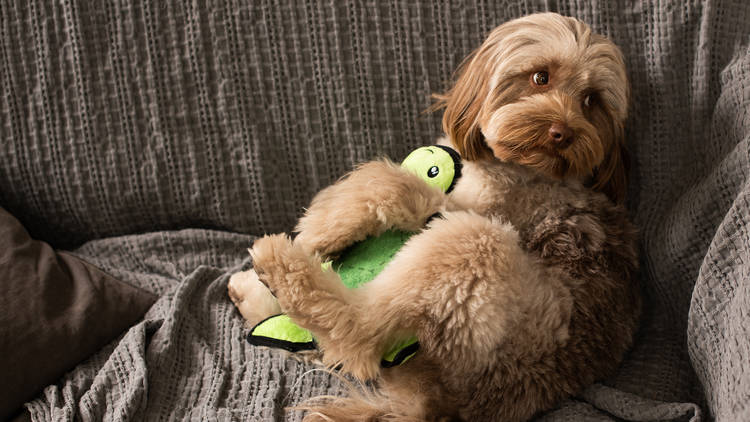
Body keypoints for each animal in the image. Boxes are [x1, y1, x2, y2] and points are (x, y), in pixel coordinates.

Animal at [229, 11, 640, 420]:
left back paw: (280, 268)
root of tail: (449, 401)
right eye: (541, 77)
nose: (562, 132)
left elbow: (387, 183)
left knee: (358, 334)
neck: (519, 167)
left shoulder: (464, 207)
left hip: (476, 248)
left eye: (590, 100)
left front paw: (316, 229)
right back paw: (254, 294)